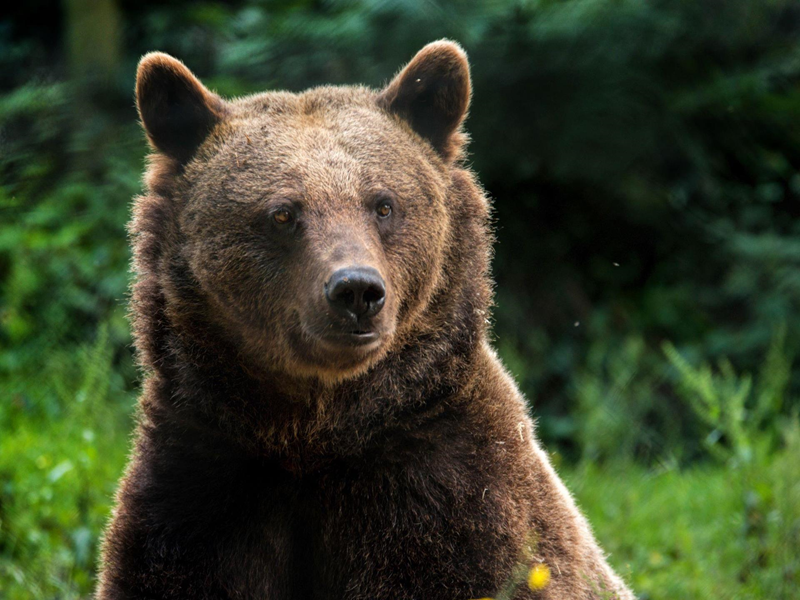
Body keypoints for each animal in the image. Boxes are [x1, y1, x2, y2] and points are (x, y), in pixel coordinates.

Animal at [97, 42, 636, 600]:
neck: (316, 433)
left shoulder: (453, 500)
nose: (356, 290)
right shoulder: (201, 489)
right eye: (283, 213)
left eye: (383, 204)